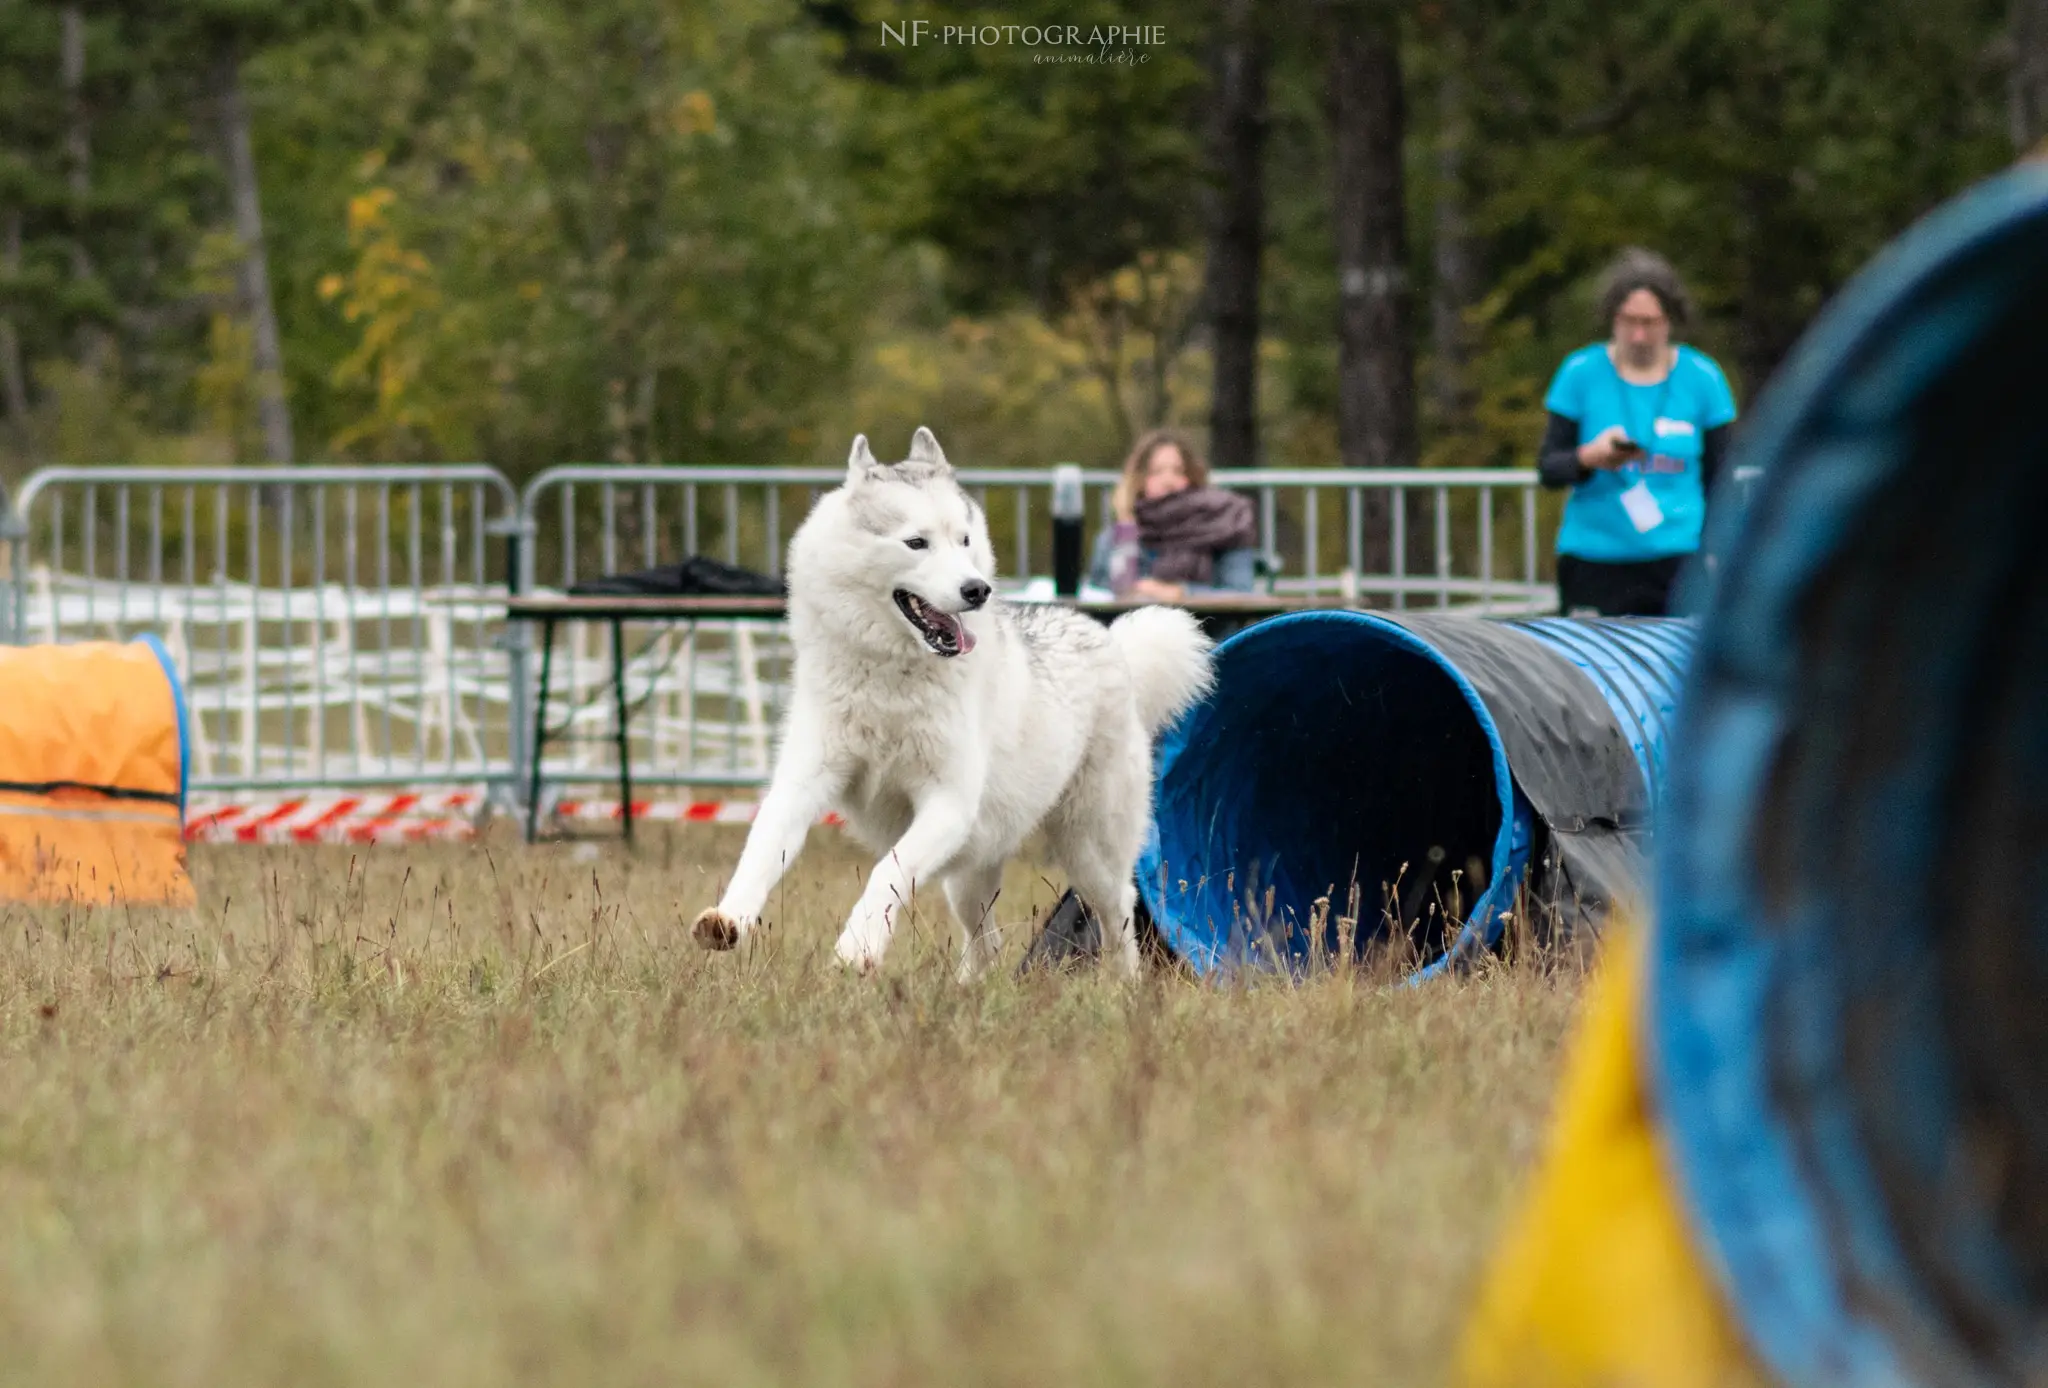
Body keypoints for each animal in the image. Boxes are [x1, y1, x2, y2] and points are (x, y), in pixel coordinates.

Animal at [696, 423, 1212, 978]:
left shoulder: (946, 805)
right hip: (970, 872)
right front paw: (728, 919)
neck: (891, 677)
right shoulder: (804, 781)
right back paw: (965, 988)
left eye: (964, 540)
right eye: (916, 542)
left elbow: (886, 872)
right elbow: (762, 850)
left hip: (1088, 851)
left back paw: (1123, 986)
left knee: (1118, 916)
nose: (977, 589)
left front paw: (857, 948)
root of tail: (1113, 642)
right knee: (985, 942)